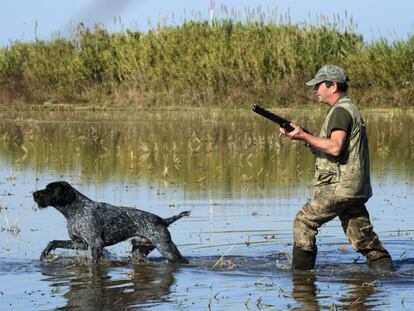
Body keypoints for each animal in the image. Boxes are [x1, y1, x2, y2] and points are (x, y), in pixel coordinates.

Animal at [33, 182, 190, 264]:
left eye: (49, 189)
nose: (34, 194)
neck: (74, 211)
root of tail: (163, 220)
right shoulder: (81, 243)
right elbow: (53, 242)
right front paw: (44, 253)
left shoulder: (96, 244)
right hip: (140, 251)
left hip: (166, 248)